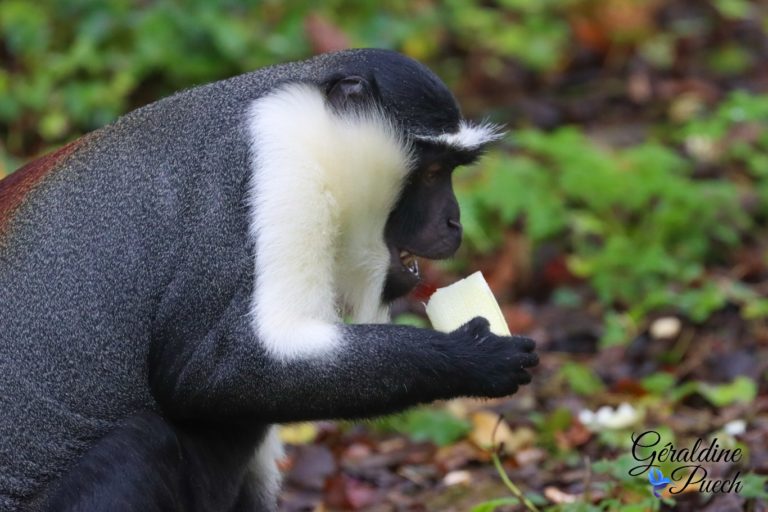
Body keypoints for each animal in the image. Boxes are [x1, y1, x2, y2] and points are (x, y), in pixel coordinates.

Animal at [0, 49, 536, 512]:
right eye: (432, 172)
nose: (454, 222)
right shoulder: (279, 169)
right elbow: (205, 371)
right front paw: (473, 356)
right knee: (141, 443)